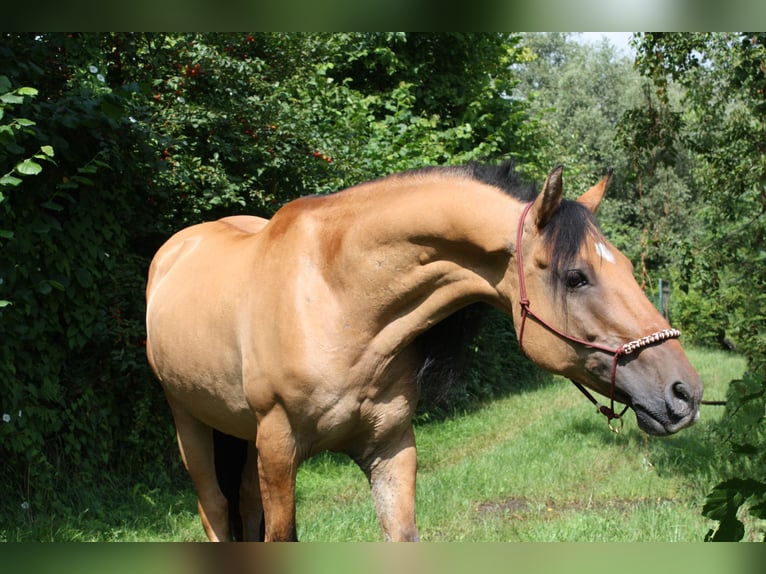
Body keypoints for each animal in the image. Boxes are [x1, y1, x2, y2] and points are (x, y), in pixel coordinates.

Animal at [144, 163, 704, 544]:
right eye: (576, 277)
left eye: (628, 266)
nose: (686, 393)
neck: (337, 298)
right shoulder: (279, 449)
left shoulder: (390, 449)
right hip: (191, 424)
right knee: (215, 509)